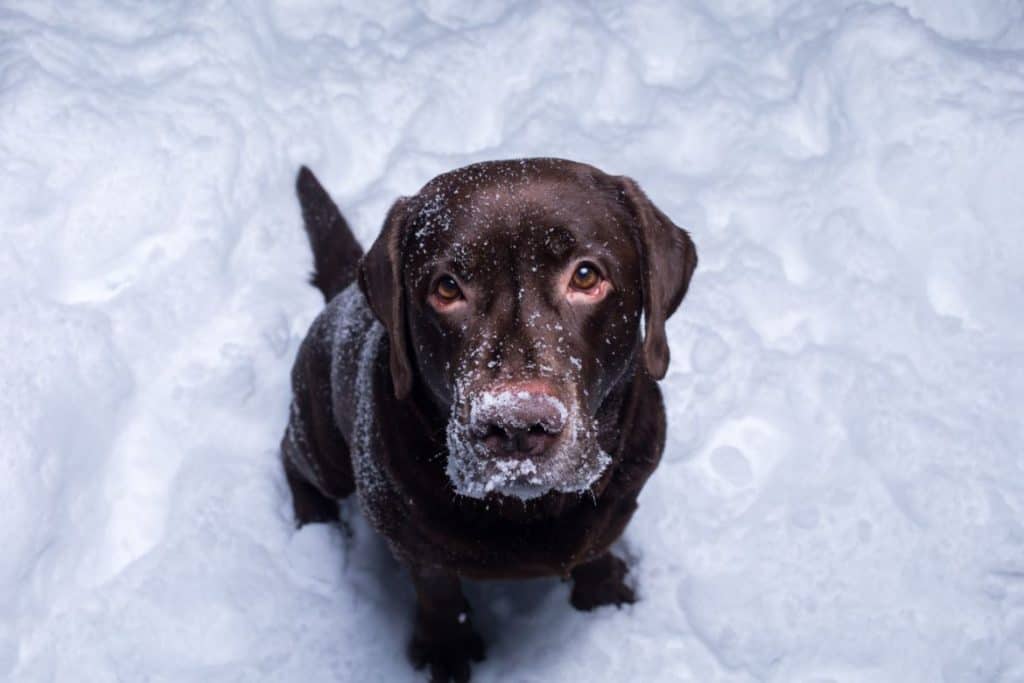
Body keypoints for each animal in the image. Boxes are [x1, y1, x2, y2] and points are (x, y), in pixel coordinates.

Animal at [280, 158, 696, 679]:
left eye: (585, 277)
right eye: (447, 288)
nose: (516, 425)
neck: (526, 512)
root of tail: (343, 293)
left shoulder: (623, 495)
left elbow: (597, 544)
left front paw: (603, 595)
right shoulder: (411, 542)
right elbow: (437, 589)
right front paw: (447, 651)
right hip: (325, 449)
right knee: (291, 456)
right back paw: (315, 519)